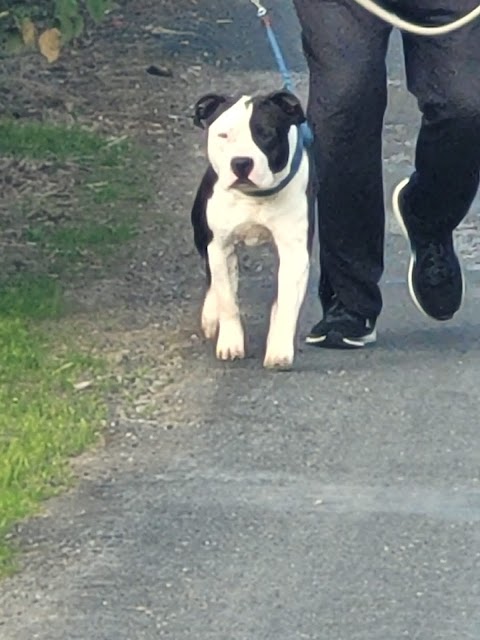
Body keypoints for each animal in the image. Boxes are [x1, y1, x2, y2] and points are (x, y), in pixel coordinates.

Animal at [191, 90, 316, 370]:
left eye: (266, 133)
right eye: (223, 135)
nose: (241, 162)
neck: (255, 197)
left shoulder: (295, 252)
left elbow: (287, 302)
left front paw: (279, 349)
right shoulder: (220, 246)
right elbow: (228, 299)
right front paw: (230, 343)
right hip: (202, 236)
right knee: (214, 280)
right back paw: (211, 315)